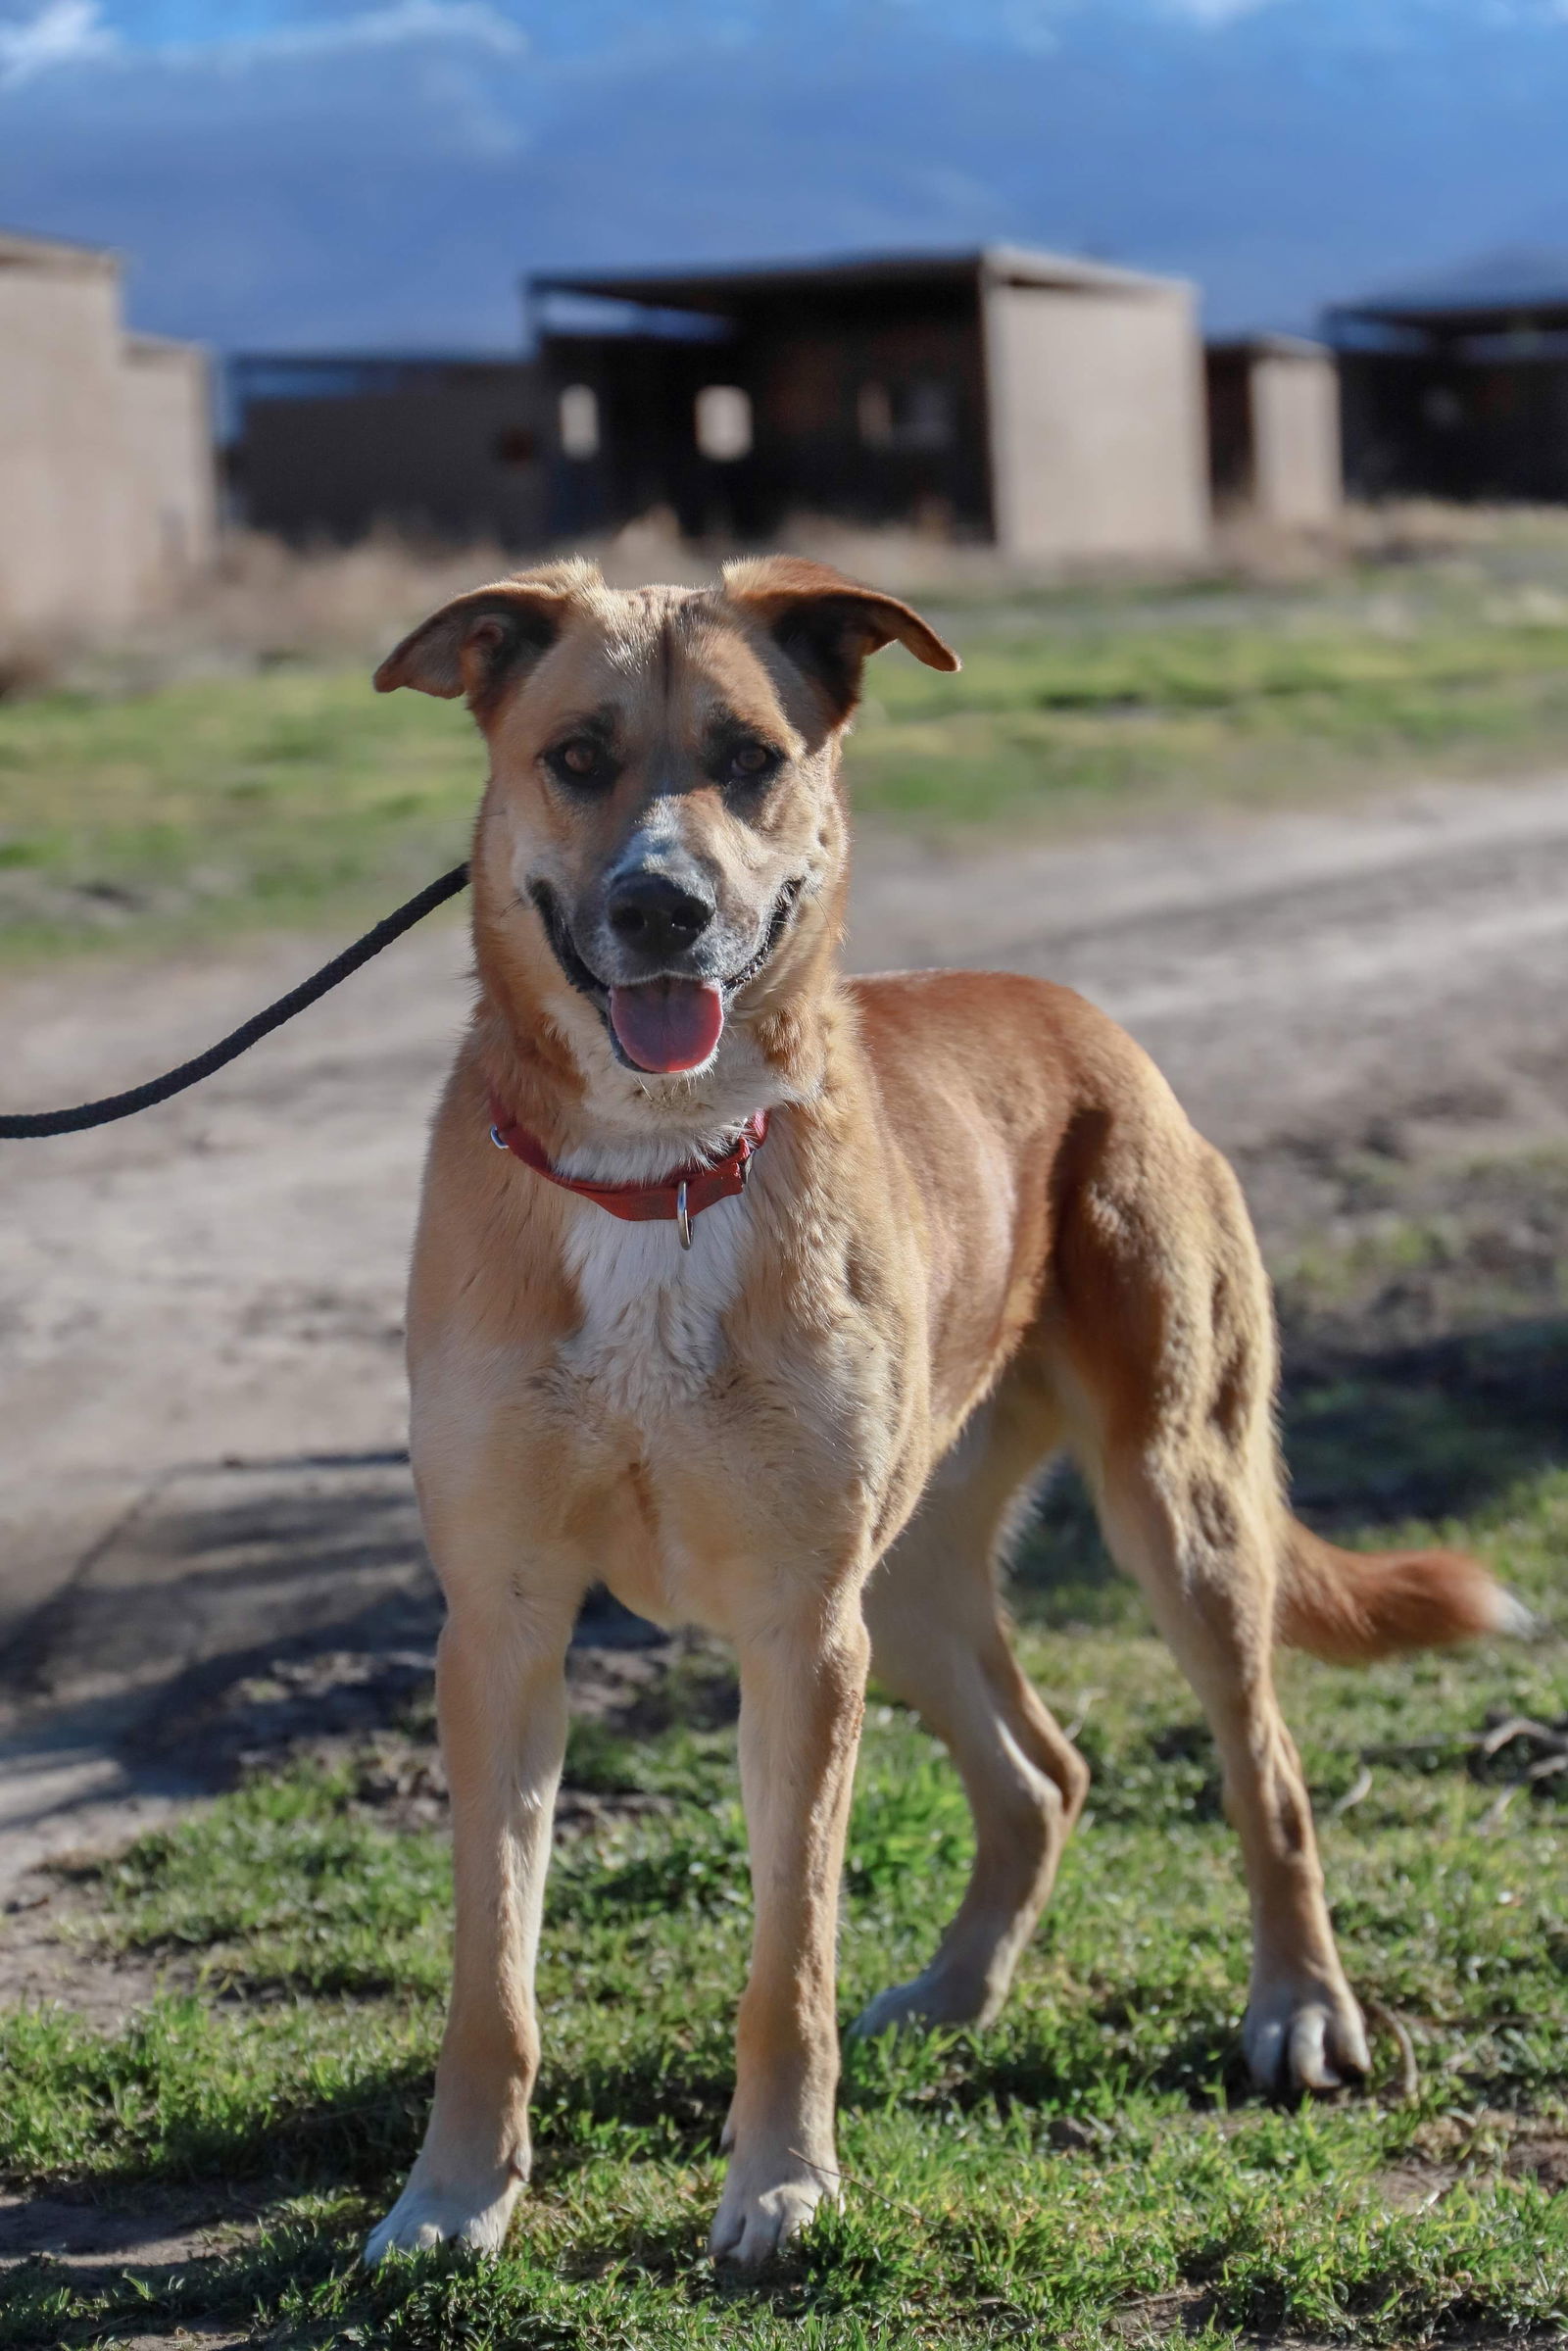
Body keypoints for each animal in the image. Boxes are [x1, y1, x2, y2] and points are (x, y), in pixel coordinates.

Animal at [364, 555, 1523, 2276]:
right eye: (575, 755)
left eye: (751, 757)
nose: (661, 908)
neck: (660, 1168)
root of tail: (1079, 1011)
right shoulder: (504, 1628)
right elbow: (489, 1979)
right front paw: (451, 2195)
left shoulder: (798, 1633)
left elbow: (789, 1960)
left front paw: (783, 2180)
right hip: (905, 1584)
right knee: (1046, 1775)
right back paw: (960, 1993)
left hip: (1171, 1510)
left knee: (1267, 1771)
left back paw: (1300, 2007)